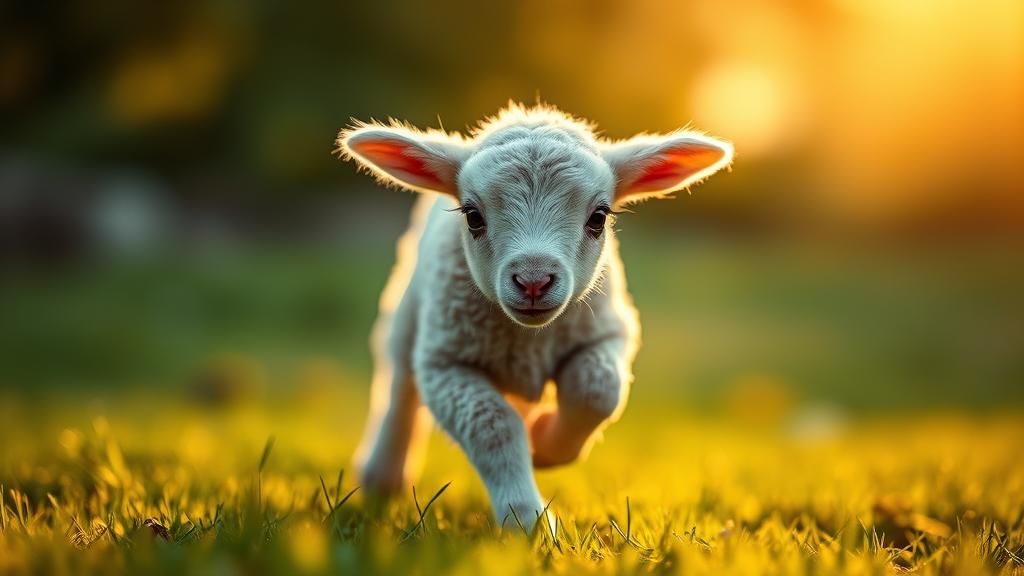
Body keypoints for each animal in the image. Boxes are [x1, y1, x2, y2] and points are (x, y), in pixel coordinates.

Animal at [337, 103, 732, 530]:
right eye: (472, 216)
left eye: (599, 217)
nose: (533, 279)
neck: (528, 338)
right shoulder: (443, 363)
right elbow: (493, 426)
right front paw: (527, 522)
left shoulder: (610, 332)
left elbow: (596, 390)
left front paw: (543, 444)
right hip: (410, 309)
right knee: (399, 384)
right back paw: (383, 474)